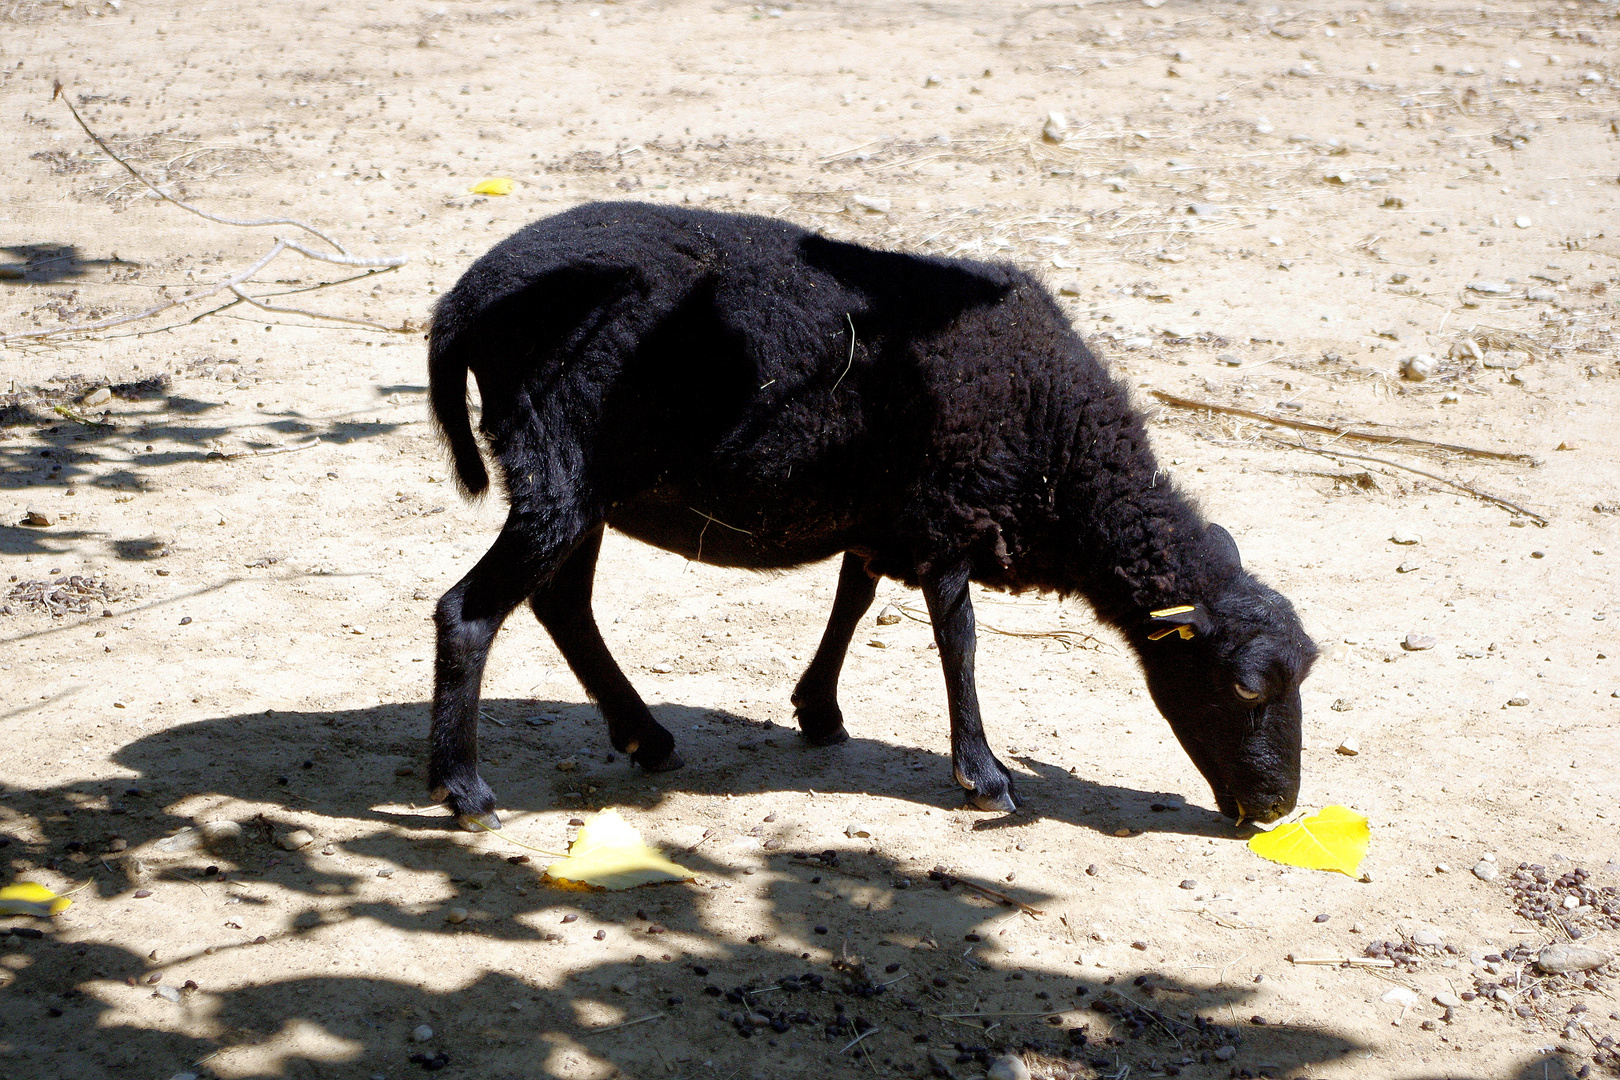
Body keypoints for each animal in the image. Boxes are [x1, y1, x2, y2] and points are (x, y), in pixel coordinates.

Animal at [421, 198, 1315, 835]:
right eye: (1243, 687)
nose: (1275, 811)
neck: (1062, 457)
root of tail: (461, 303)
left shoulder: (895, 515)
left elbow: (853, 597)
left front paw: (819, 710)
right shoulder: (951, 512)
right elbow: (959, 641)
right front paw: (984, 776)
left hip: (586, 487)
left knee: (561, 603)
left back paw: (645, 737)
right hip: (556, 466)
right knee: (469, 612)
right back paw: (465, 790)